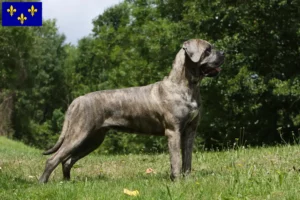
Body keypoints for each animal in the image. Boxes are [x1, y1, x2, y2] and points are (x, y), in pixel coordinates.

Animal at [38, 38, 224, 183]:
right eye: (208, 50)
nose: (223, 52)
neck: (186, 85)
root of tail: (77, 100)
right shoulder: (173, 131)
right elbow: (176, 160)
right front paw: (177, 182)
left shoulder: (190, 130)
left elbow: (187, 159)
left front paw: (188, 180)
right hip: (79, 134)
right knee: (53, 159)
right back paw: (42, 183)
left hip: (93, 139)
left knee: (67, 160)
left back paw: (67, 182)